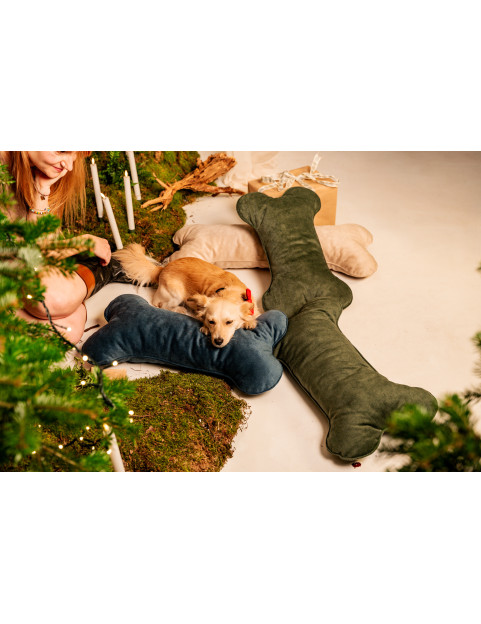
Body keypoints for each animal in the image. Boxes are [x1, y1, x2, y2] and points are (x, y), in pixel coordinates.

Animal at [112, 244, 258, 347]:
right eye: (211, 322)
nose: (218, 341)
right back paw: (180, 309)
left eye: (229, 322)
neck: (229, 292)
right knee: (160, 304)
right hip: (177, 294)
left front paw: (250, 322)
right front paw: (205, 328)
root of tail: (162, 269)